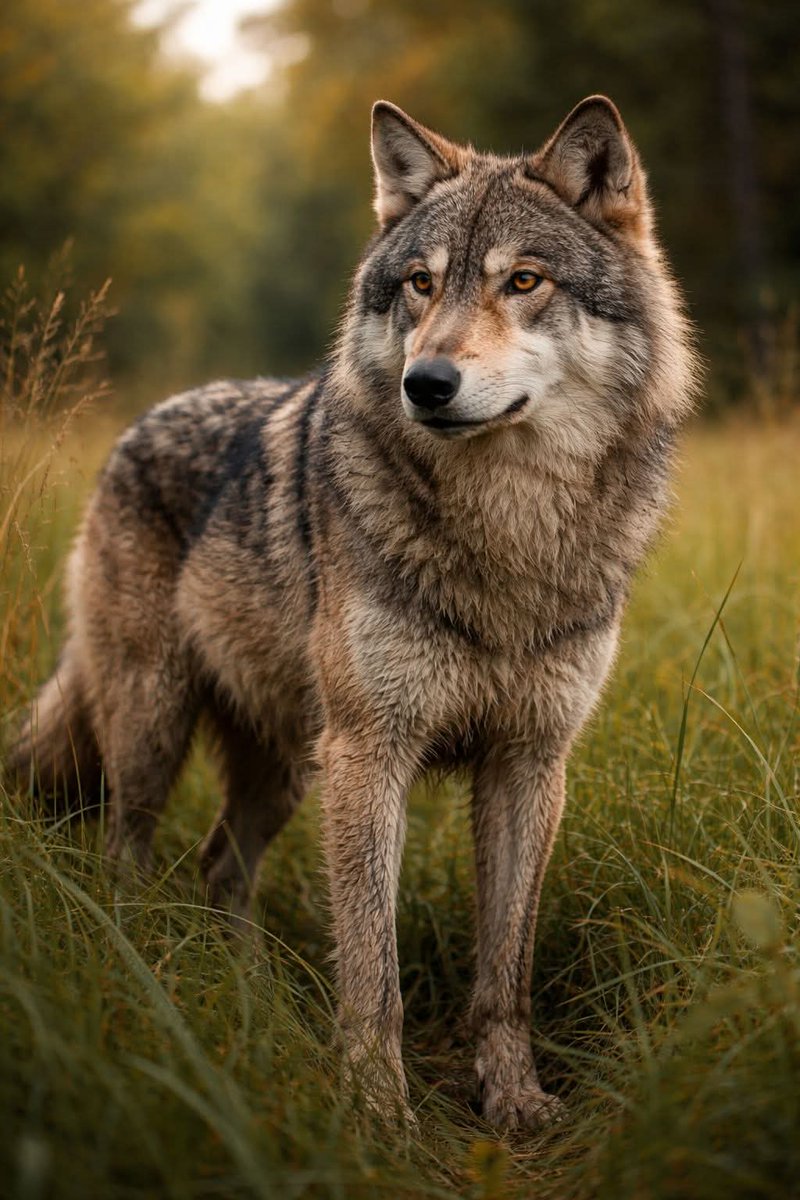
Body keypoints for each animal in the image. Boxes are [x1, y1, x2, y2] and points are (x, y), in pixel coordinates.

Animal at [8, 96, 696, 1129]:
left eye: (523, 281)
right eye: (420, 284)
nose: (427, 384)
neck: (507, 534)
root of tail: (138, 424)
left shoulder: (530, 762)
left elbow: (506, 968)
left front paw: (515, 1099)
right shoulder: (373, 753)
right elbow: (373, 966)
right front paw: (376, 1111)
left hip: (288, 765)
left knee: (219, 867)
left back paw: (246, 1002)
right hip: (163, 729)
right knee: (126, 861)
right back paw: (148, 987)